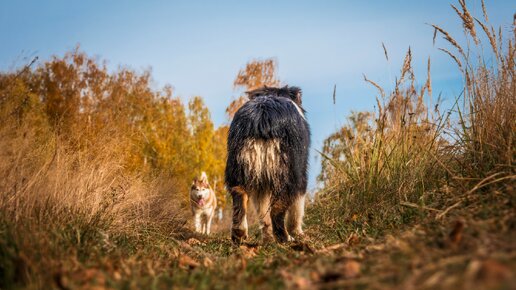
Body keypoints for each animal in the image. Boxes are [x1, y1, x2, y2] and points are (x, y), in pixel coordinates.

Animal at [224, 85, 308, 242]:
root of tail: (261, 117)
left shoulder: (260, 184)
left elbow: (262, 212)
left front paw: (267, 237)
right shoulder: (300, 173)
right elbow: (297, 207)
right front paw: (298, 232)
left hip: (239, 168)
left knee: (239, 196)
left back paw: (240, 234)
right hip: (286, 173)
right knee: (277, 209)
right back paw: (285, 238)